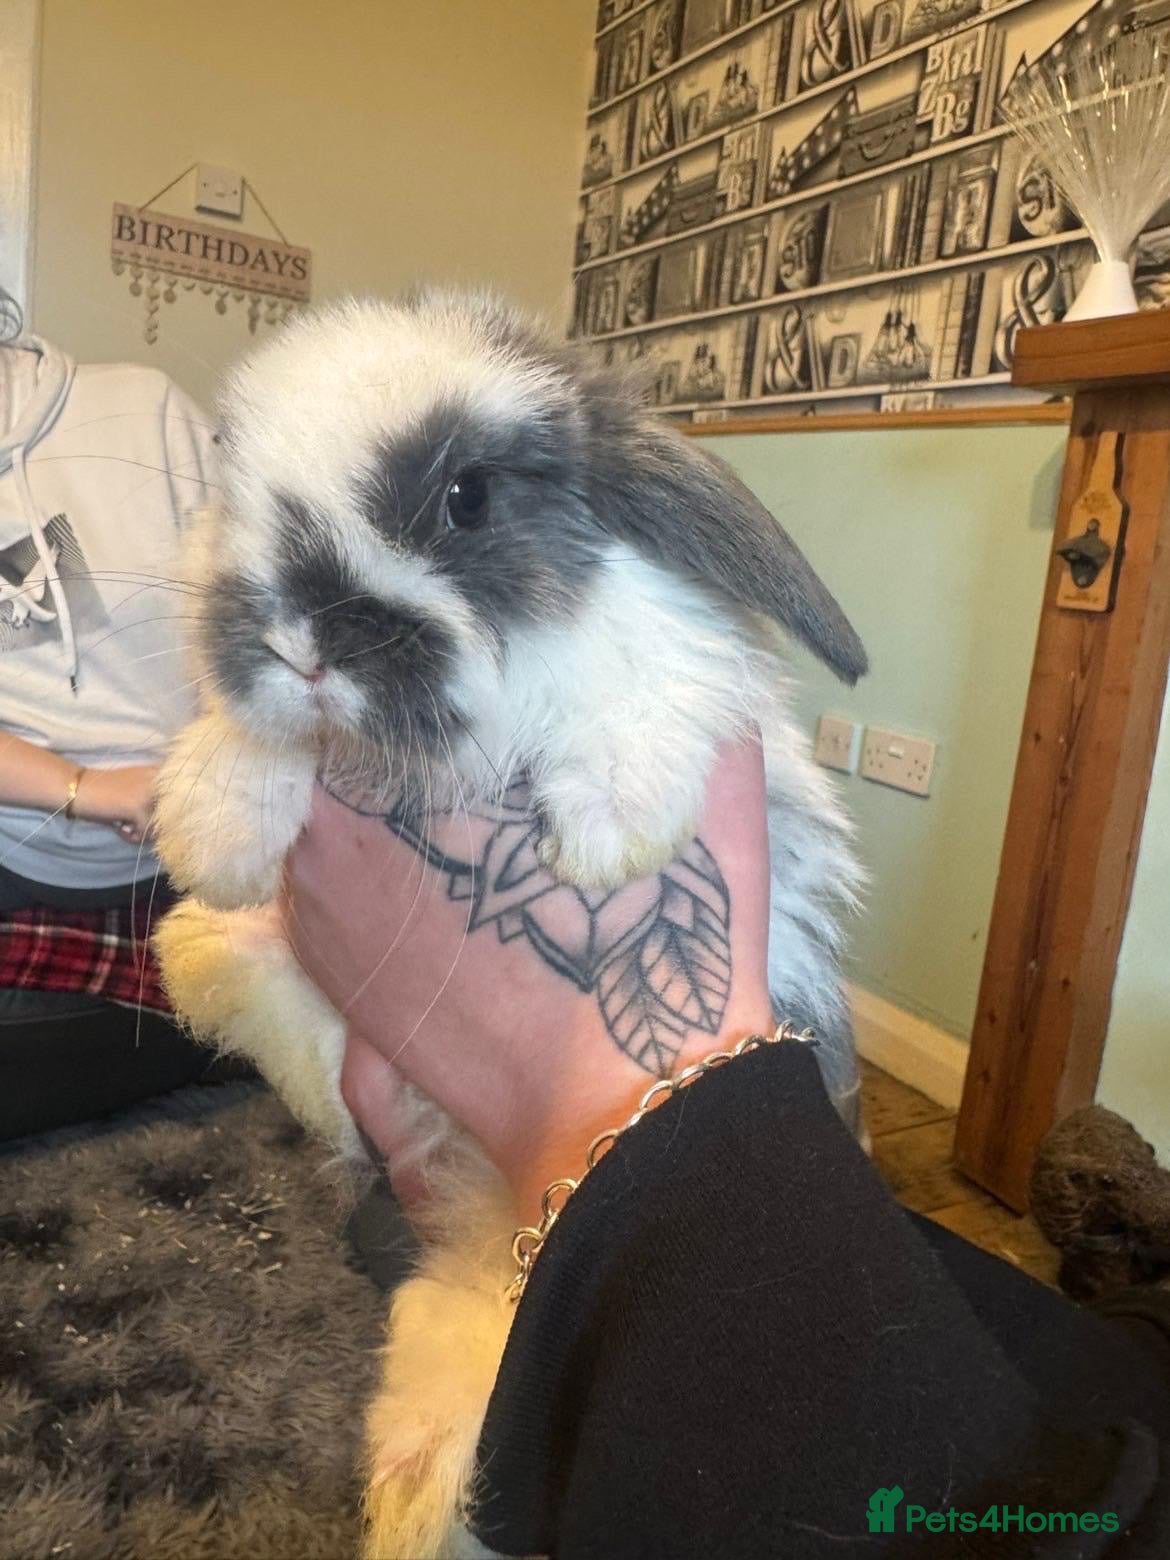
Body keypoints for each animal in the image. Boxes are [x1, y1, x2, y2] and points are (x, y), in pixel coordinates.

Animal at [152, 288, 867, 1559]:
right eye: (232, 483)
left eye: (468, 499)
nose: (301, 642)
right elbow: (261, 751)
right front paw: (215, 828)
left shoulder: (680, 655)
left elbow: (655, 680)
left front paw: (608, 836)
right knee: (243, 998)